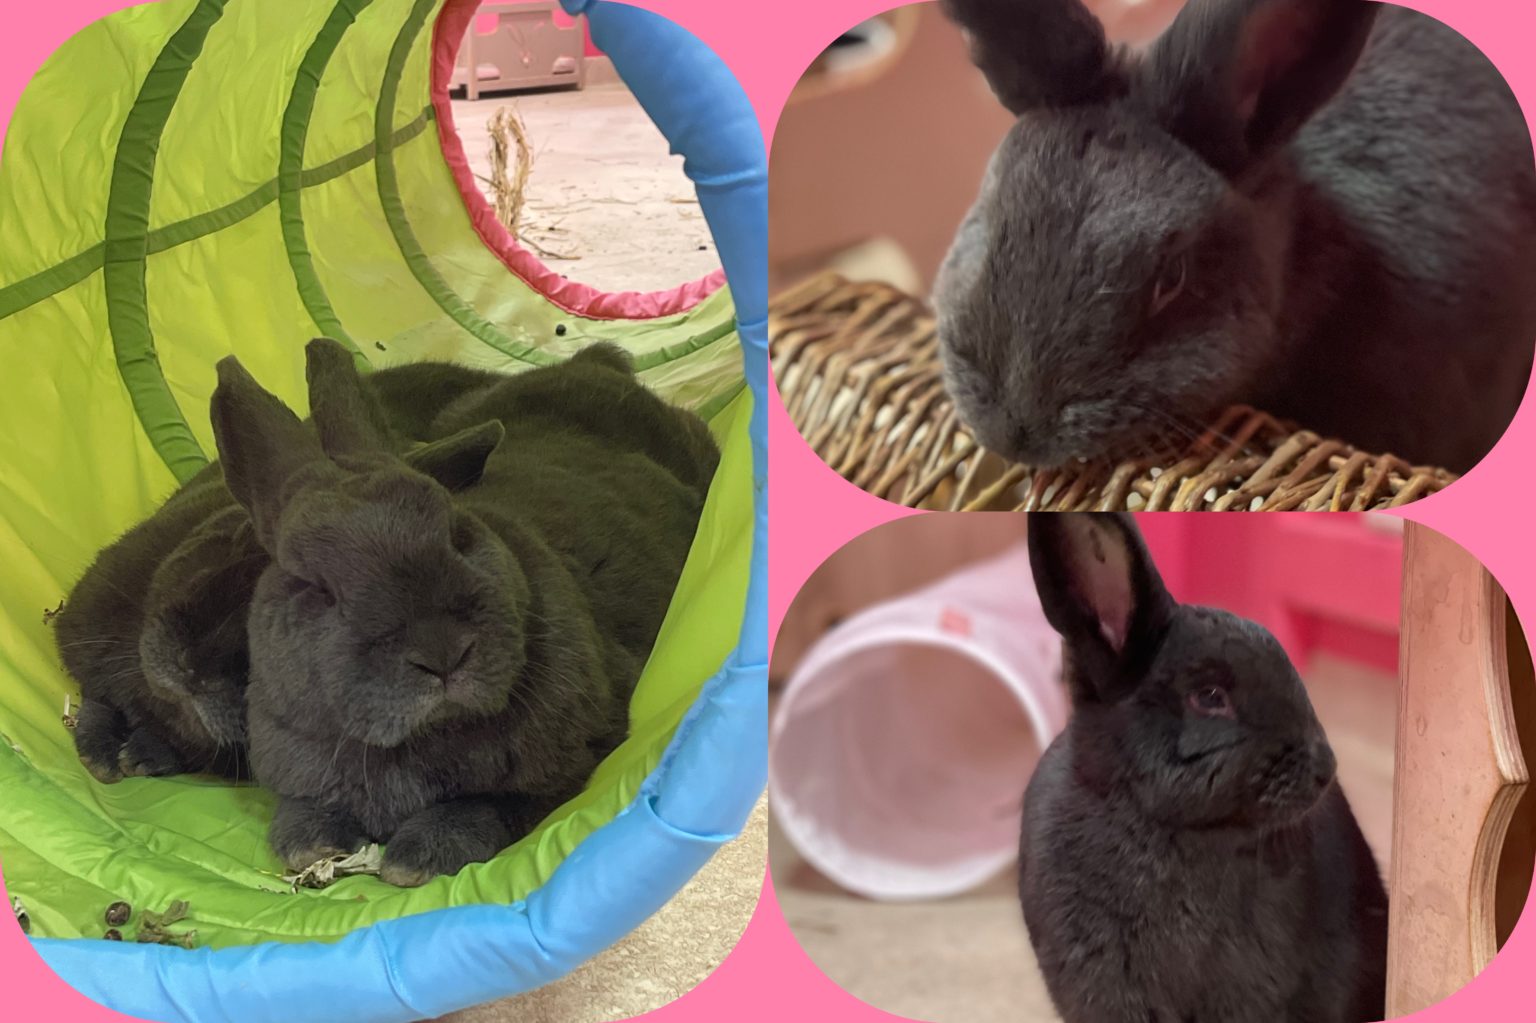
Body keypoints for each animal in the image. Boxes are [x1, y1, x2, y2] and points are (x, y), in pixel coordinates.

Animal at [220, 338, 711, 886]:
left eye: (459, 532)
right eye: (315, 587)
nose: (442, 652)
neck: (417, 739)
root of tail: (596, 365)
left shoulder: (575, 756)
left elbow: (488, 806)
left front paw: (412, 863)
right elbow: (302, 809)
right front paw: (312, 849)